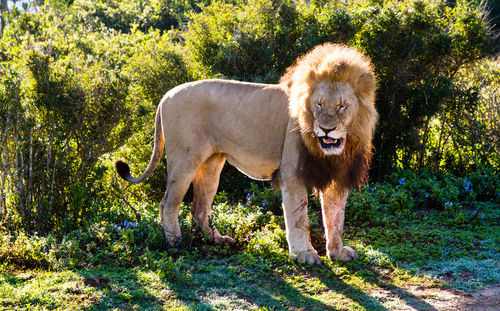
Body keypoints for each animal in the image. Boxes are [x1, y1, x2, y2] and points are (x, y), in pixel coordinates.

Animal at [116, 42, 376, 264]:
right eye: (319, 104)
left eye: (342, 106)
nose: (326, 128)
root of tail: (165, 96)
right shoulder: (292, 172)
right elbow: (299, 216)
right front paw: (304, 254)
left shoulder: (339, 175)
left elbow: (336, 216)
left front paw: (337, 252)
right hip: (184, 160)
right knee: (167, 204)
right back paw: (175, 243)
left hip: (212, 164)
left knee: (199, 208)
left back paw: (217, 239)